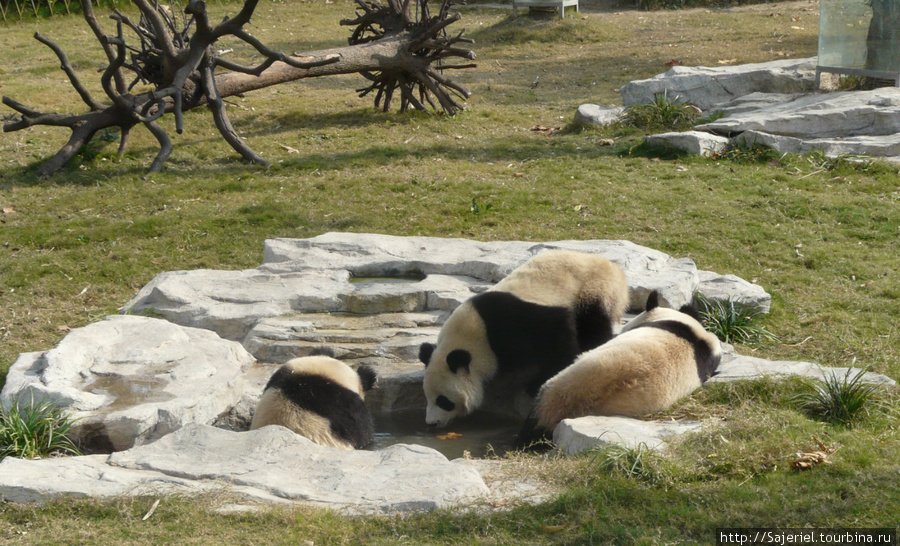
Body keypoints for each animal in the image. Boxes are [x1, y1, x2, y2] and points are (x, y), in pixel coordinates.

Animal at [416, 249, 624, 428]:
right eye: (426, 397)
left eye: (443, 401)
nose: (431, 423)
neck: (474, 335)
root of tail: (612, 266)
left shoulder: (514, 326)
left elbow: (557, 340)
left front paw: (538, 383)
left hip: (592, 289)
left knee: (593, 324)